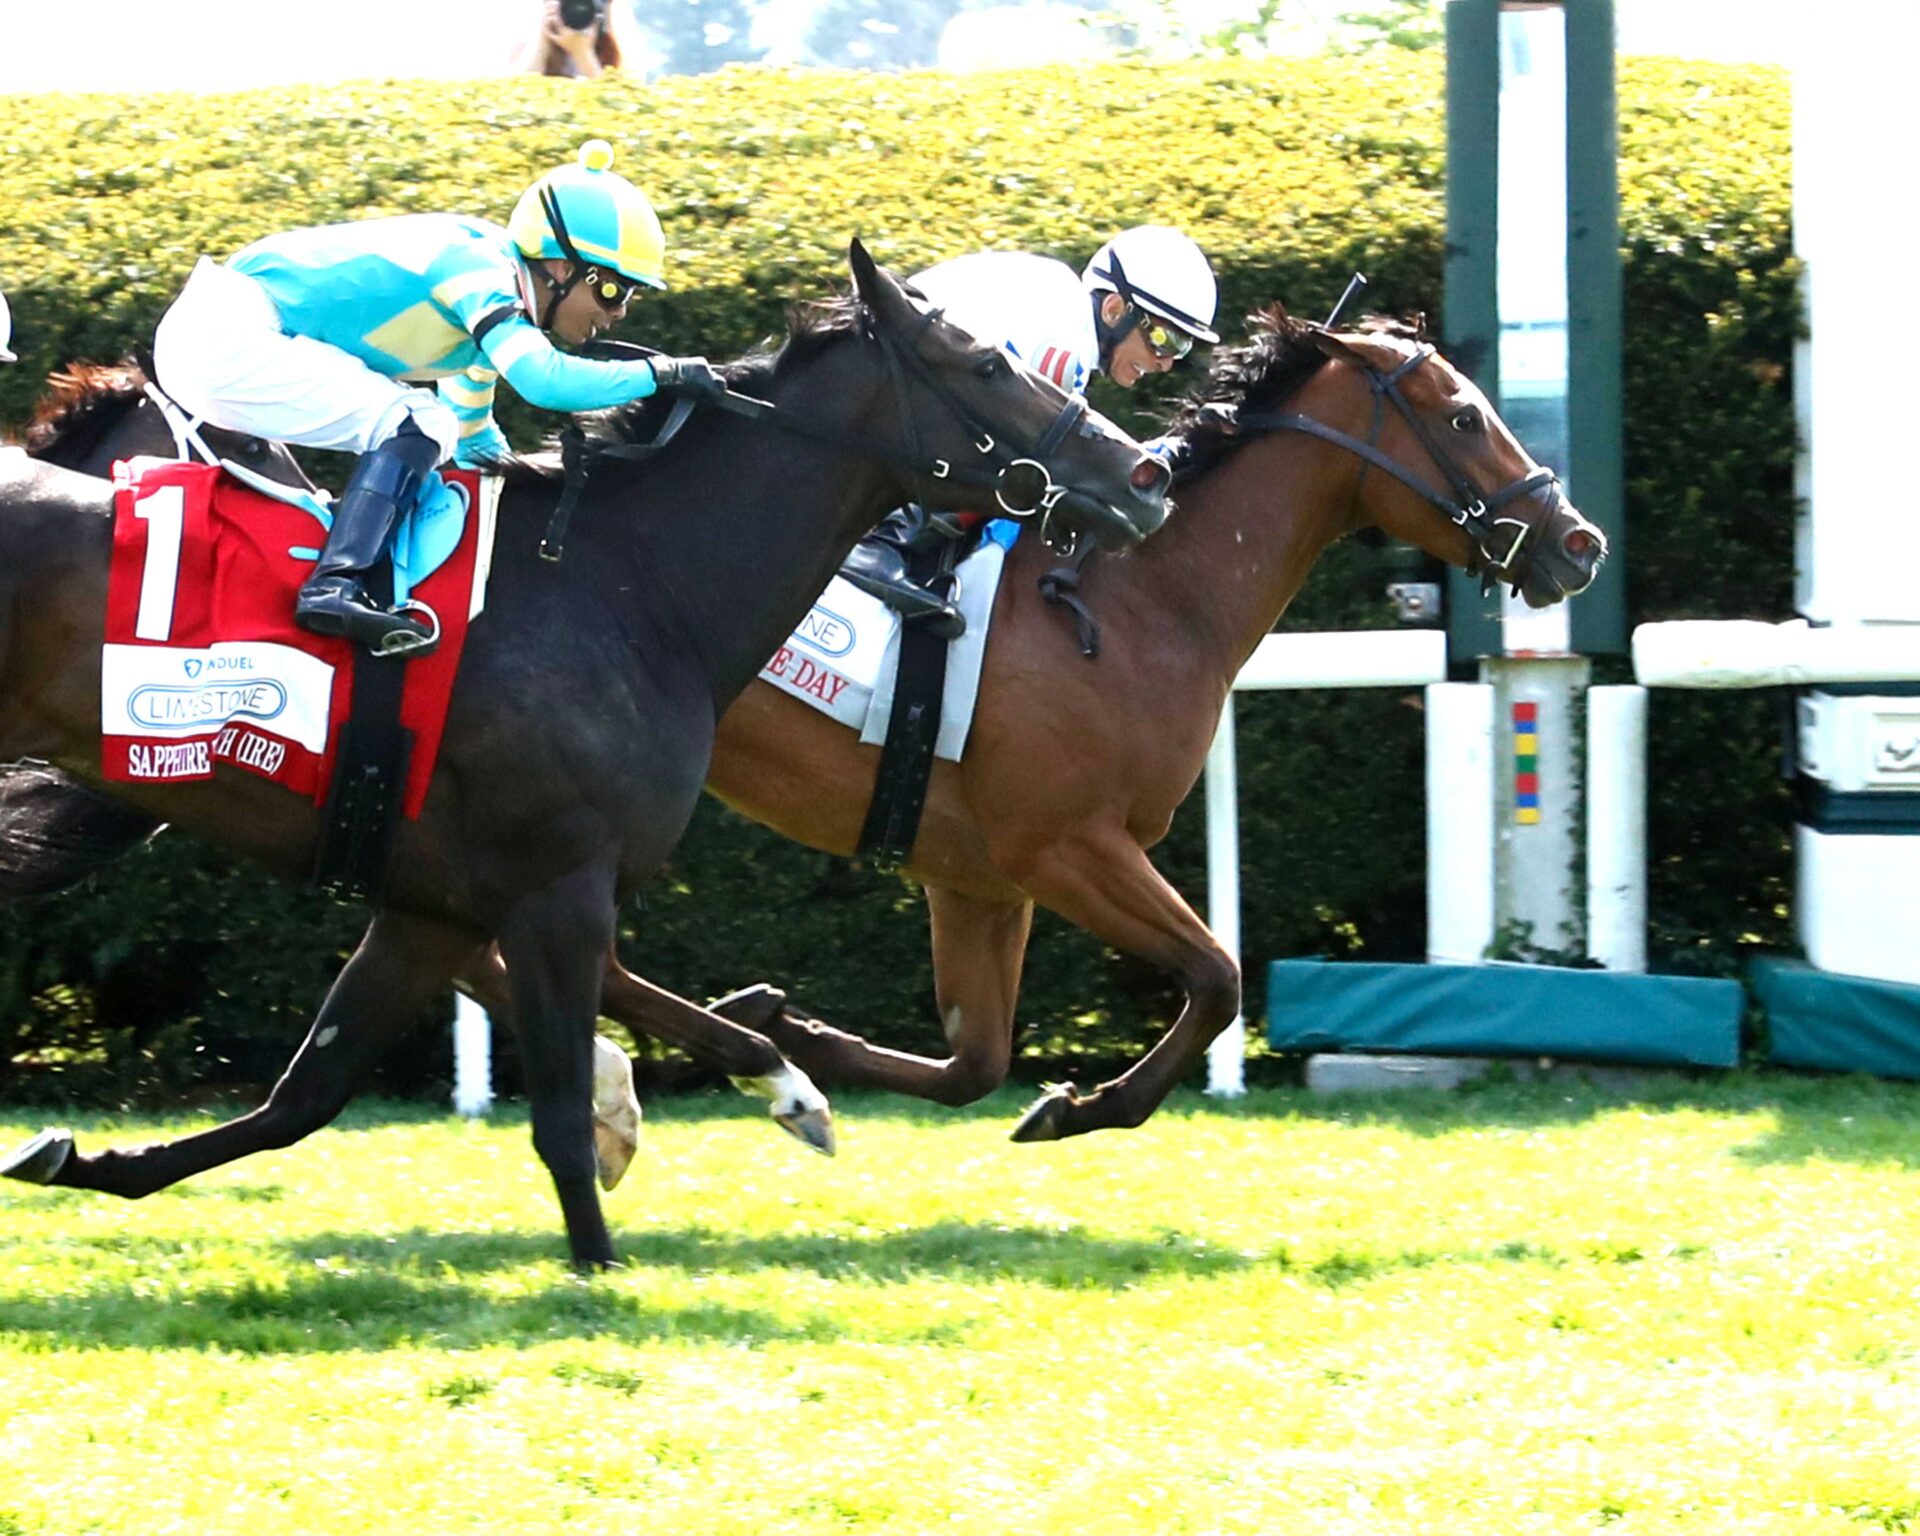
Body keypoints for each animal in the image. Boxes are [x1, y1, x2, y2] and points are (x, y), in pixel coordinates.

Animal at [0, 242, 1168, 1266]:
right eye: (989, 364)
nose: (1145, 471)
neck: (627, 586)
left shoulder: (431, 906)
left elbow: (303, 1096)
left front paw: (83, 1160)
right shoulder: (557, 887)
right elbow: (554, 1112)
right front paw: (600, 1265)